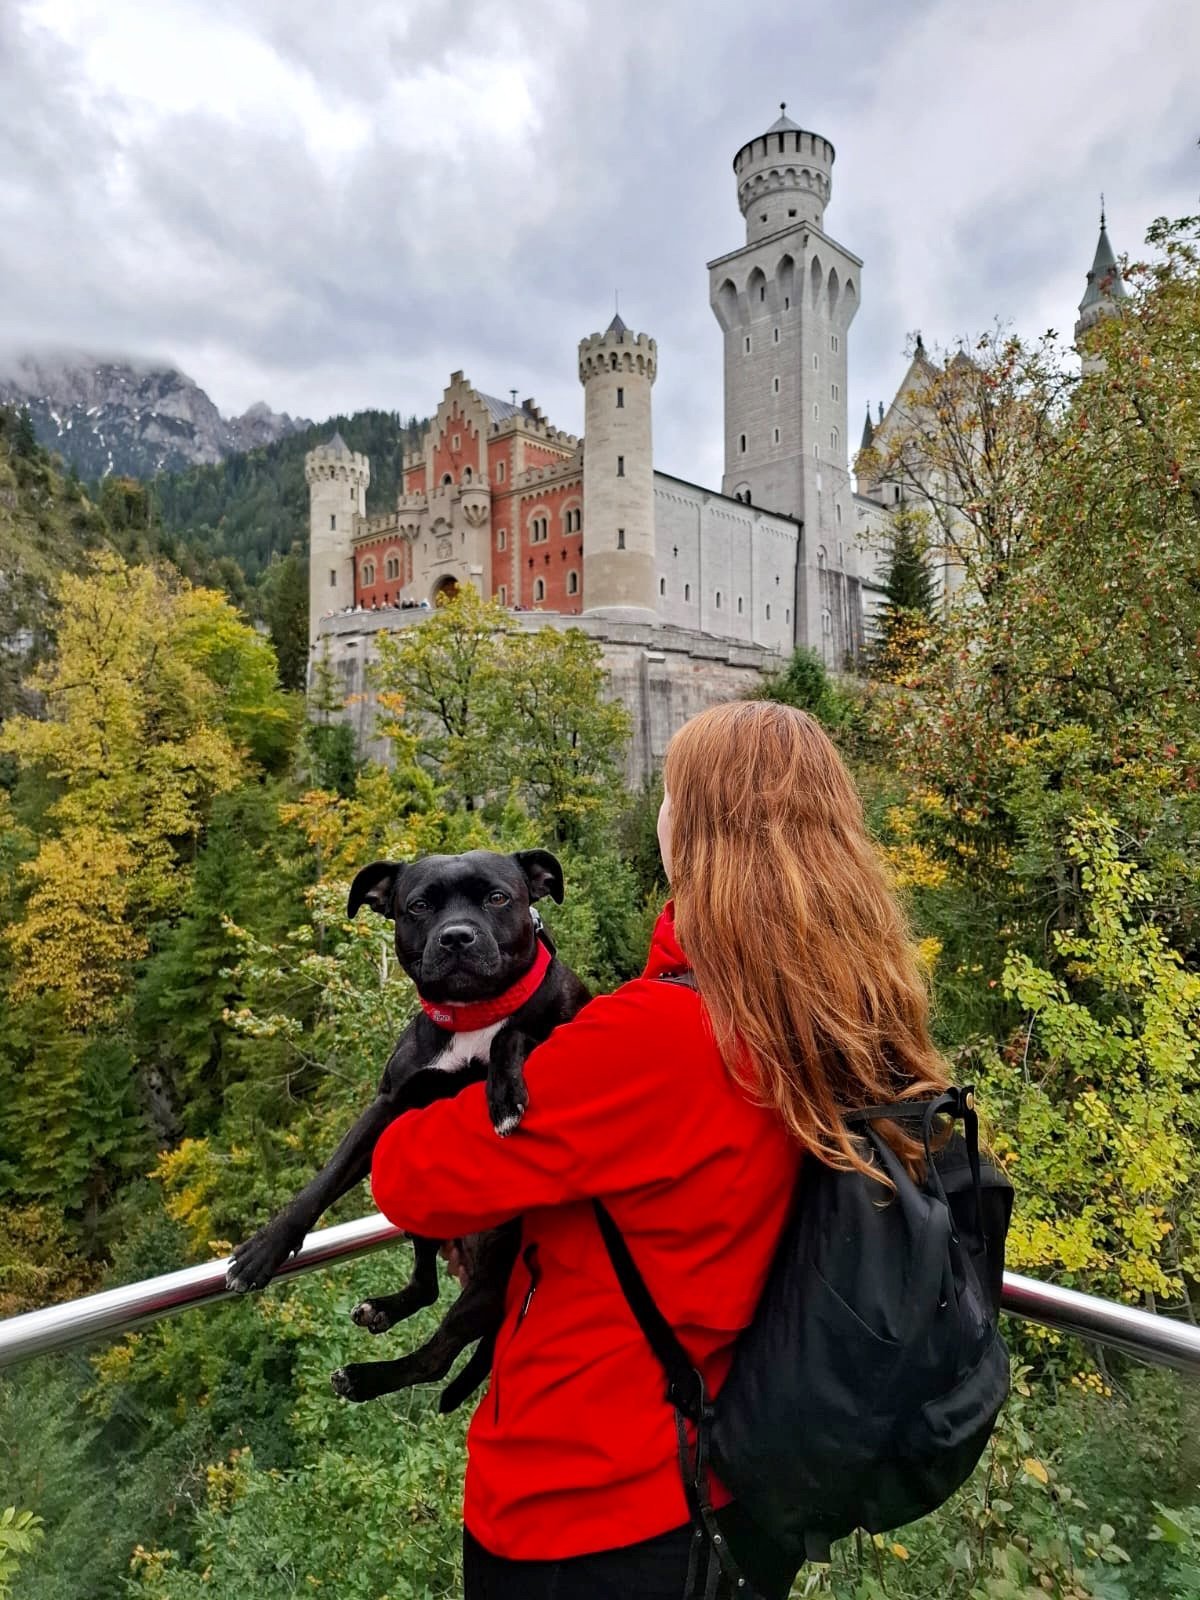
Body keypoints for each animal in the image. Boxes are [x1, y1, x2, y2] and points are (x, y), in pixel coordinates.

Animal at [227, 844, 592, 1408]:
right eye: (419, 906)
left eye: (497, 897)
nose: (457, 936)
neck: (473, 1015)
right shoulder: (388, 1109)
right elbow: (323, 1181)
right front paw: (265, 1248)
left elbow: (515, 1034)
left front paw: (503, 1094)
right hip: (422, 1214)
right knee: (426, 1286)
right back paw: (382, 1310)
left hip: (492, 1280)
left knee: (435, 1357)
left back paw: (364, 1378)